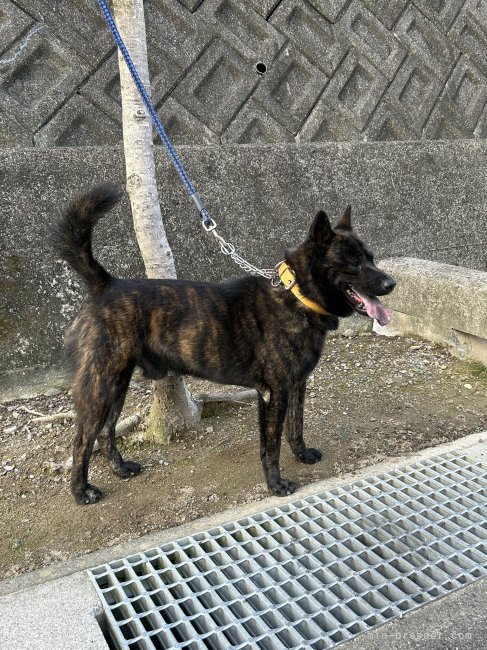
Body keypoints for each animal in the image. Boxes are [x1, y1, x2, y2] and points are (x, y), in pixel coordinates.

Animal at [53, 185, 396, 504]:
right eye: (353, 264)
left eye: (371, 258)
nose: (391, 283)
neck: (295, 296)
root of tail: (106, 285)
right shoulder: (273, 394)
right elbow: (271, 445)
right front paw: (276, 484)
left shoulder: (296, 385)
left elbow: (295, 427)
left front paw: (301, 455)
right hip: (100, 387)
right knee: (81, 441)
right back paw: (80, 492)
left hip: (116, 385)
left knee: (106, 432)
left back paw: (120, 468)